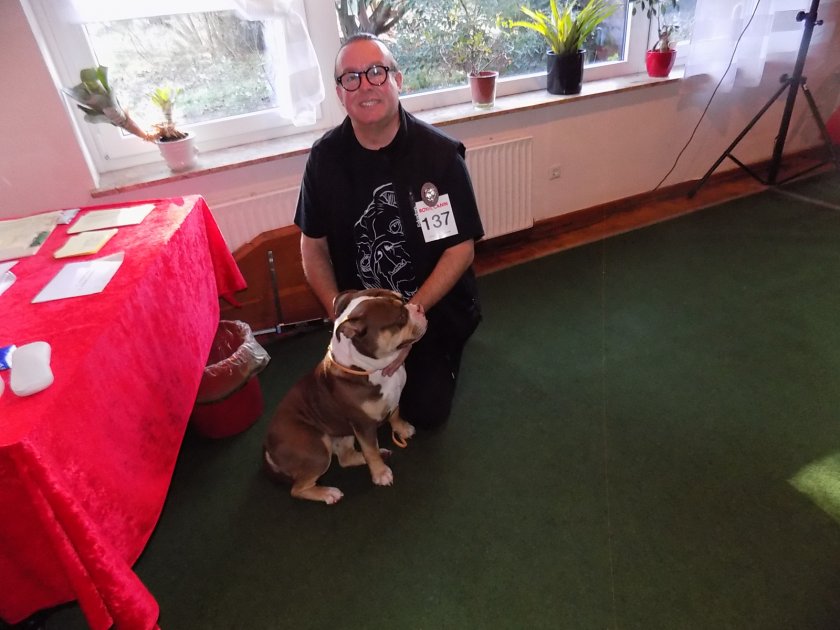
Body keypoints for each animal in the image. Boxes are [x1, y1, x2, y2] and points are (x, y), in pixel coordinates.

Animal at [263, 288, 427, 504]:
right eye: (400, 316)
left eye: (403, 299)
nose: (419, 307)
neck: (368, 368)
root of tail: (268, 451)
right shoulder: (363, 424)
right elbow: (370, 449)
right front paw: (380, 474)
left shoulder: (393, 398)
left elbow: (395, 414)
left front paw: (402, 429)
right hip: (318, 448)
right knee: (298, 489)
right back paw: (328, 493)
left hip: (344, 434)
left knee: (345, 458)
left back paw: (380, 454)